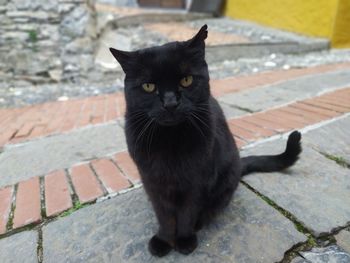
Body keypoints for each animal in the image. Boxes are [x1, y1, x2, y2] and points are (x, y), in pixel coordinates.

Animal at [110, 25, 300, 258]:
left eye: (186, 80)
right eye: (148, 86)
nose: (170, 103)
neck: (170, 141)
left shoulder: (197, 181)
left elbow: (187, 213)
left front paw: (184, 240)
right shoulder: (153, 182)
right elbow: (165, 216)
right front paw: (163, 241)